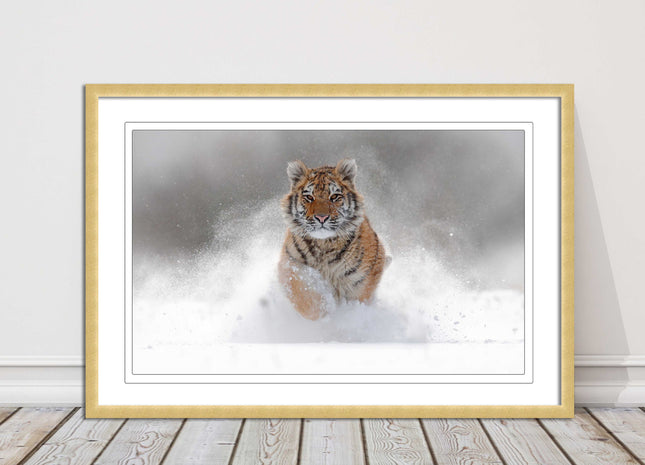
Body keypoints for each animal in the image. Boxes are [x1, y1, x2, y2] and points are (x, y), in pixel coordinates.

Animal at [278, 159, 390, 320]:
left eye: (334, 196)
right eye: (309, 197)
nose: (321, 217)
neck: (323, 244)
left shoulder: (362, 279)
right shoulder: (290, 265)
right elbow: (304, 295)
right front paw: (324, 312)